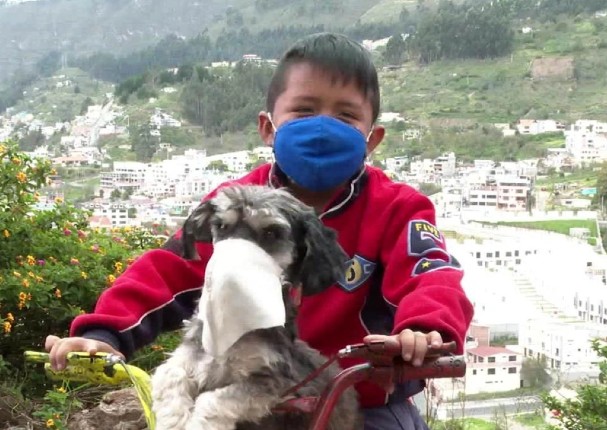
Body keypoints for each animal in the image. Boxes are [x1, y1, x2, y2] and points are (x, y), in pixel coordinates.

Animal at [152, 186, 364, 430]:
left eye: (271, 232)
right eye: (222, 226)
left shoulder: (280, 384)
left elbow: (214, 400)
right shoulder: (187, 357)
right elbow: (170, 376)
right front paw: (173, 420)